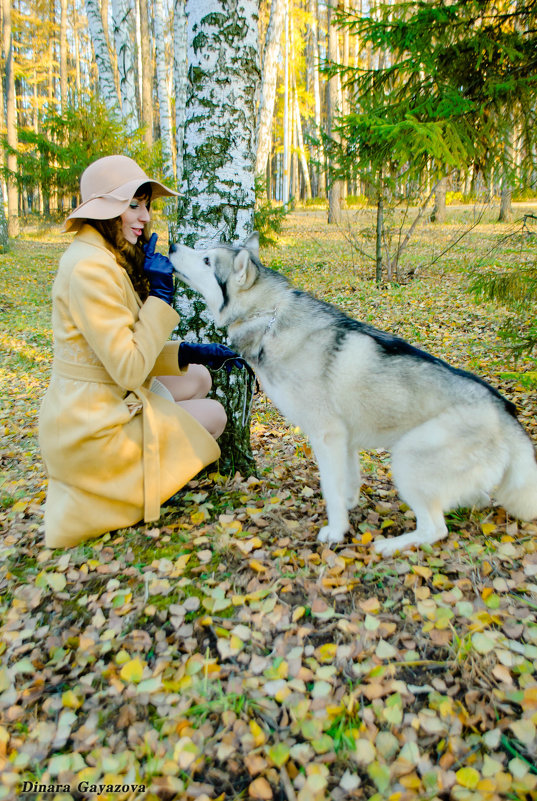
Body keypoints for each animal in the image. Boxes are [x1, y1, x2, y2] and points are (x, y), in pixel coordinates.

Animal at [170, 233, 536, 552]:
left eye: (206, 259)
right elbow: (346, 482)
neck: (269, 317)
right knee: (472, 500)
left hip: (407, 458)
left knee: (435, 528)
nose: (172, 245)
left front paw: (335, 530)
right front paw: (348, 509)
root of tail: (505, 411)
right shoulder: (344, 439)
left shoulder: (326, 435)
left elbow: (330, 488)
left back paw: (391, 545)